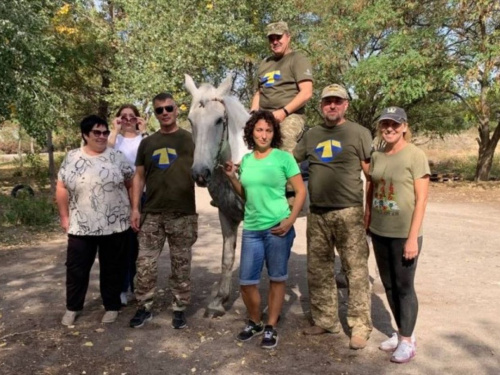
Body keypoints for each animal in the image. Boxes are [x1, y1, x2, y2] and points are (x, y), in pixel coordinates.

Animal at [184, 73, 250, 318]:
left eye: (219, 120)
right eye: (190, 120)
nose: (200, 173)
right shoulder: (226, 214)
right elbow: (227, 258)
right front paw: (219, 300)